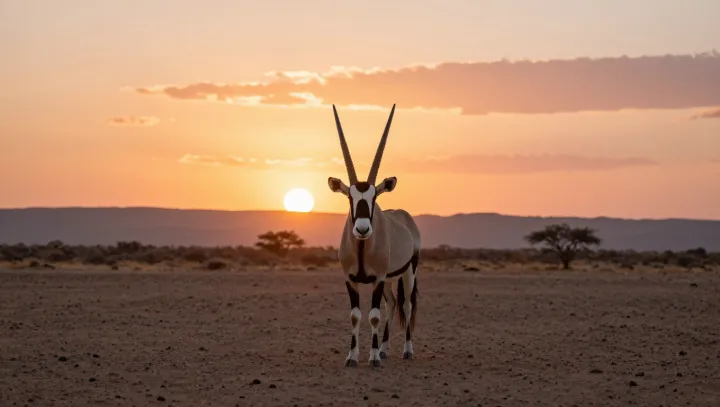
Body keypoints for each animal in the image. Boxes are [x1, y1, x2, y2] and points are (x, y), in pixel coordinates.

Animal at [327, 104, 421, 367]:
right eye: (350, 197)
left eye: (374, 197)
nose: (362, 229)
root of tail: (404, 217)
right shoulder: (350, 279)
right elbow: (356, 316)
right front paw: (352, 356)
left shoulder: (378, 278)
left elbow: (374, 316)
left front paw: (373, 357)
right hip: (389, 279)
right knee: (392, 304)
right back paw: (385, 349)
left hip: (408, 271)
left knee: (406, 305)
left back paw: (406, 351)